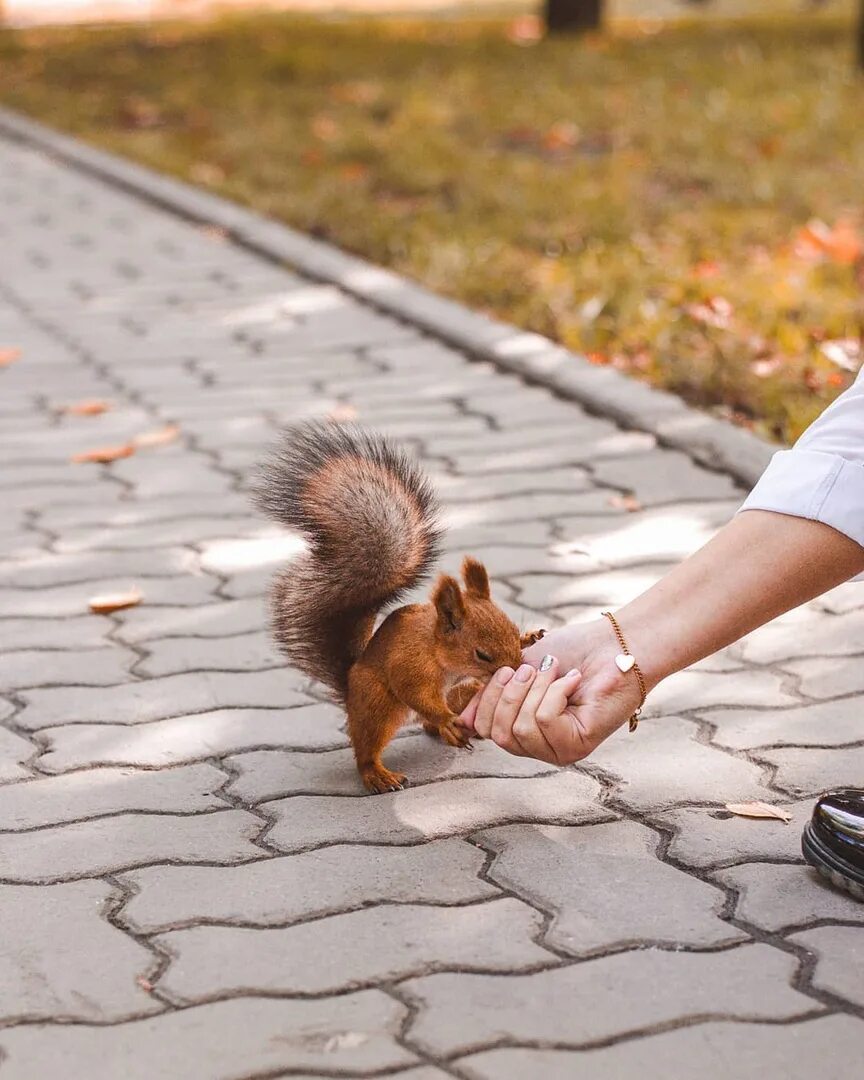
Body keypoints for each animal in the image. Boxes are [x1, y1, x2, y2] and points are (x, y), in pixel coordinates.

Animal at [252, 421, 544, 794]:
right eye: (482, 654)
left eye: (511, 630)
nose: (519, 668)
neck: (438, 651)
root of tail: (349, 684)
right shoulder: (410, 665)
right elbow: (416, 693)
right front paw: (446, 718)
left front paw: (530, 637)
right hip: (376, 704)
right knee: (371, 745)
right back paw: (380, 772)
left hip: (464, 691)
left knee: (429, 724)